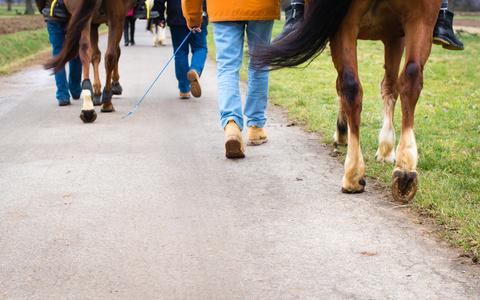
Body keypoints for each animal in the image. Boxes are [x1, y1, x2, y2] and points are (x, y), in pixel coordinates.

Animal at [253, 0, 444, 203]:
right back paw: (405, 170)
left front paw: (348, 134)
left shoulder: (393, 36)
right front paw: (385, 148)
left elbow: (382, 86)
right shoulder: (395, 35)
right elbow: (390, 85)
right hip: (419, 20)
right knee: (409, 78)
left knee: (350, 86)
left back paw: (354, 173)